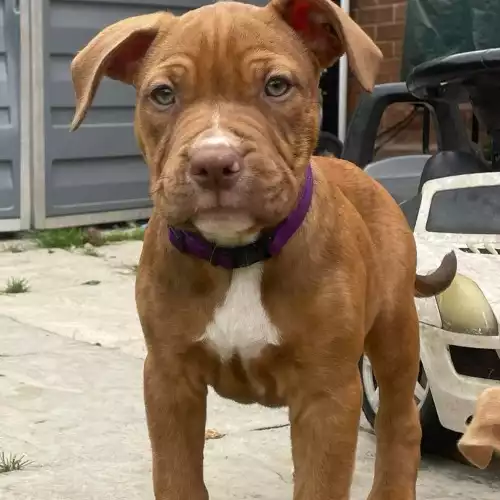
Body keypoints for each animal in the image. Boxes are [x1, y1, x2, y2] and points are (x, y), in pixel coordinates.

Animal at [70, 1, 458, 498]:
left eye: (276, 86)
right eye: (163, 94)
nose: (213, 163)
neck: (238, 256)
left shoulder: (326, 396)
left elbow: (318, 484)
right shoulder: (168, 380)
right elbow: (176, 477)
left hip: (395, 332)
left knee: (402, 421)